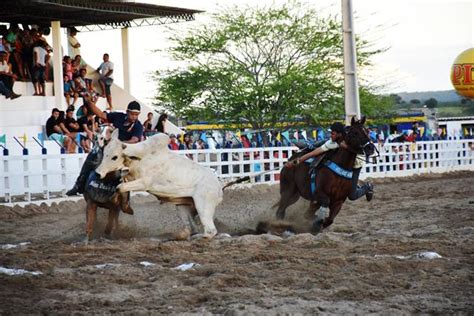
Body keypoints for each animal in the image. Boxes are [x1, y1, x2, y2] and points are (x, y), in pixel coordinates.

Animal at [96, 131, 224, 237]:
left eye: (115, 157)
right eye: (104, 152)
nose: (98, 173)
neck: (141, 158)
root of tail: (219, 186)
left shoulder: (144, 183)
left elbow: (120, 187)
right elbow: (121, 185)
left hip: (203, 205)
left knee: (210, 231)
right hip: (182, 206)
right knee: (191, 227)